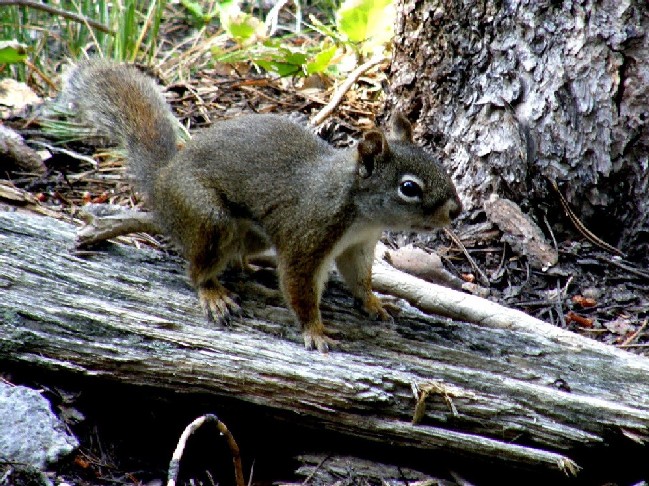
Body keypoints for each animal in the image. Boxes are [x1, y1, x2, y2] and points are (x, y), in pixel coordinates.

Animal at [62, 59, 460, 354]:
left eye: (439, 163)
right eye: (409, 188)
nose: (455, 211)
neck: (359, 212)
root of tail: (162, 181)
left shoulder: (358, 245)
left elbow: (359, 278)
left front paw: (375, 303)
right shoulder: (307, 236)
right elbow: (299, 287)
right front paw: (315, 331)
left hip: (251, 234)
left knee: (236, 254)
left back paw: (249, 269)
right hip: (209, 217)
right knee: (198, 268)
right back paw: (214, 294)